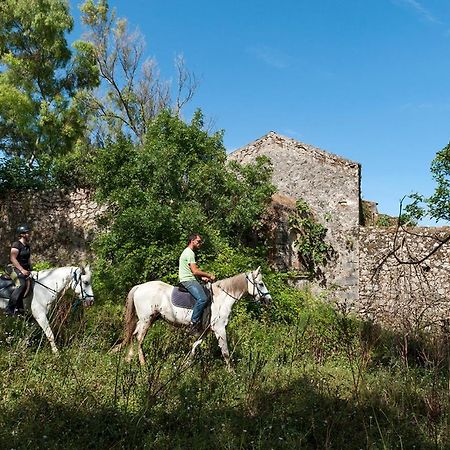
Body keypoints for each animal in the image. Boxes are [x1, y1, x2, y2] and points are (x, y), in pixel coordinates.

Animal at [114, 268, 272, 370]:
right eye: (261, 284)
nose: (269, 300)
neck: (222, 298)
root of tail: (139, 287)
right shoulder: (219, 329)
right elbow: (226, 352)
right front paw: (232, 372)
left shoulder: (205, 331)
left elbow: (195, 346)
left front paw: (185, 365)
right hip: (146, 319)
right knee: (138, 338)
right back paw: (143, 364)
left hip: (151, 319)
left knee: (134, 336)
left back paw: (129, 359)